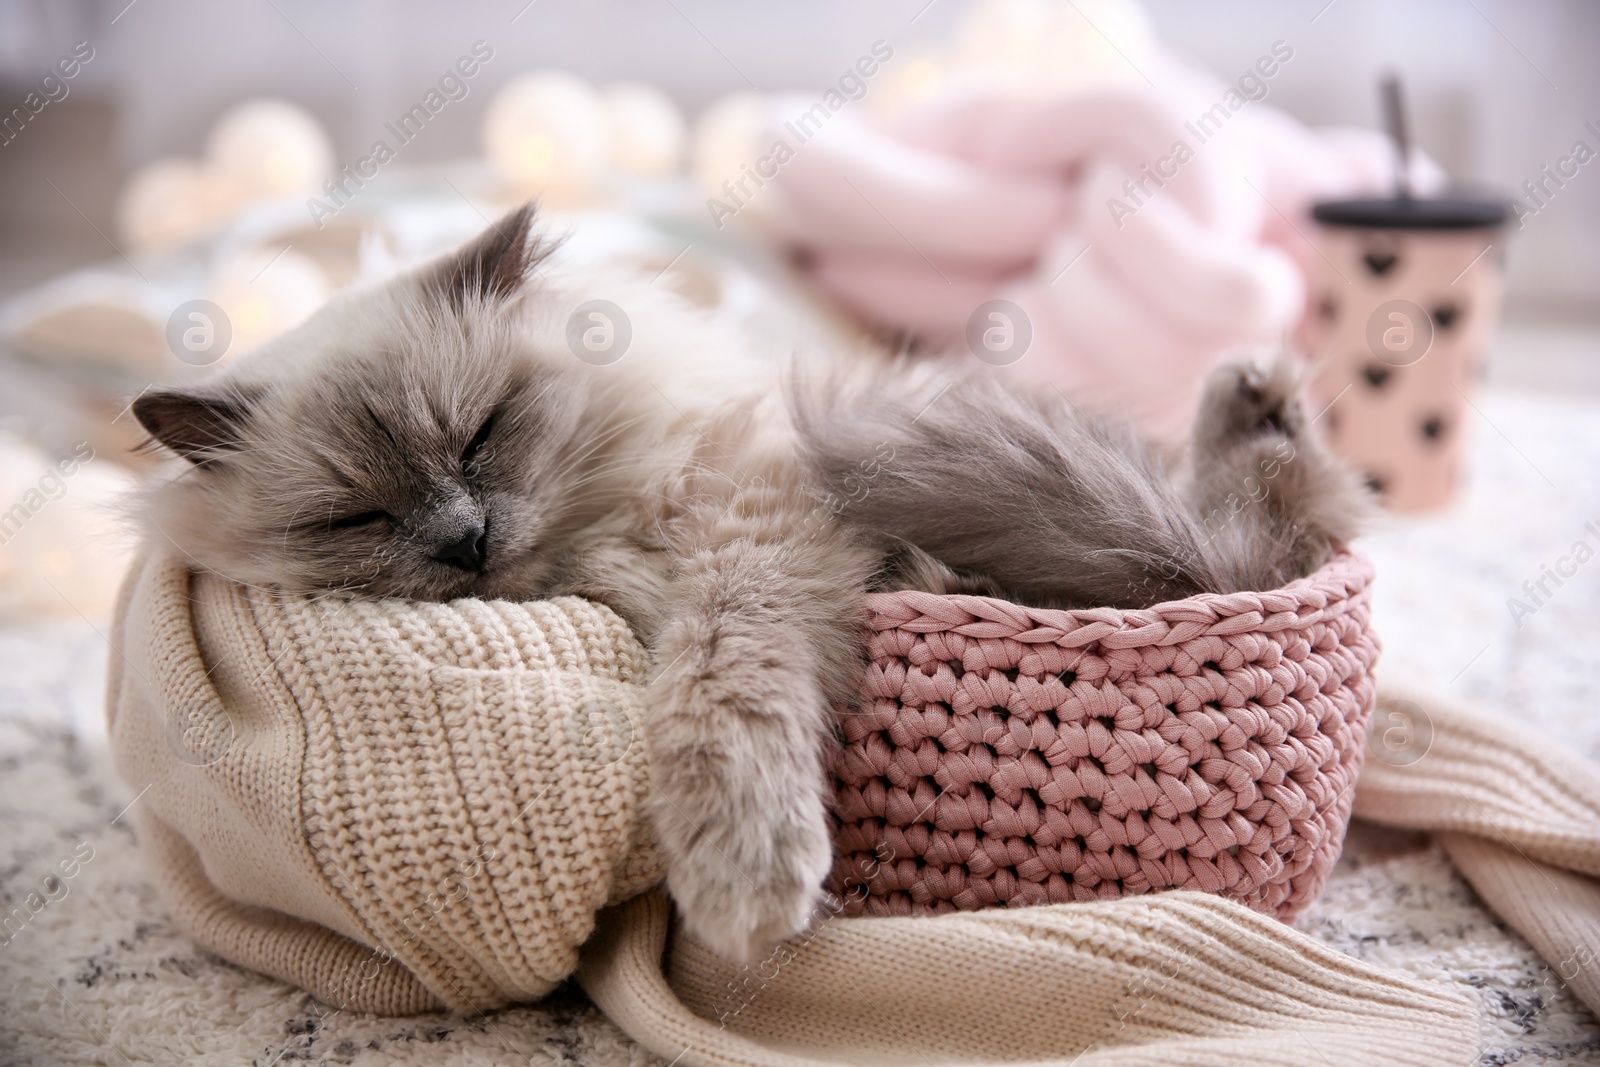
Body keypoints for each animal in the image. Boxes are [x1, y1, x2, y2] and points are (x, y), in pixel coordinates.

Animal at [131, 204, 1369, 966]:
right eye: (358, 517)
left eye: (481, 435)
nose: (466, 541)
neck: (612, 532)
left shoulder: (751, 547)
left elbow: (721, 706)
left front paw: (742, 882)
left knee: (1290, 514)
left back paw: (1255, 396)